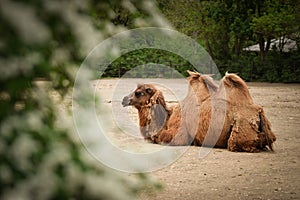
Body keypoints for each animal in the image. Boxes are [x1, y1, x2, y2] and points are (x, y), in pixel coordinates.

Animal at [122, 70, 276, 152]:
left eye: (139, 93)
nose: (124, 99)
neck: (167, 117)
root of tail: (258, 112)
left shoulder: (178, 135)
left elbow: (162, 138)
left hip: (238, 134)